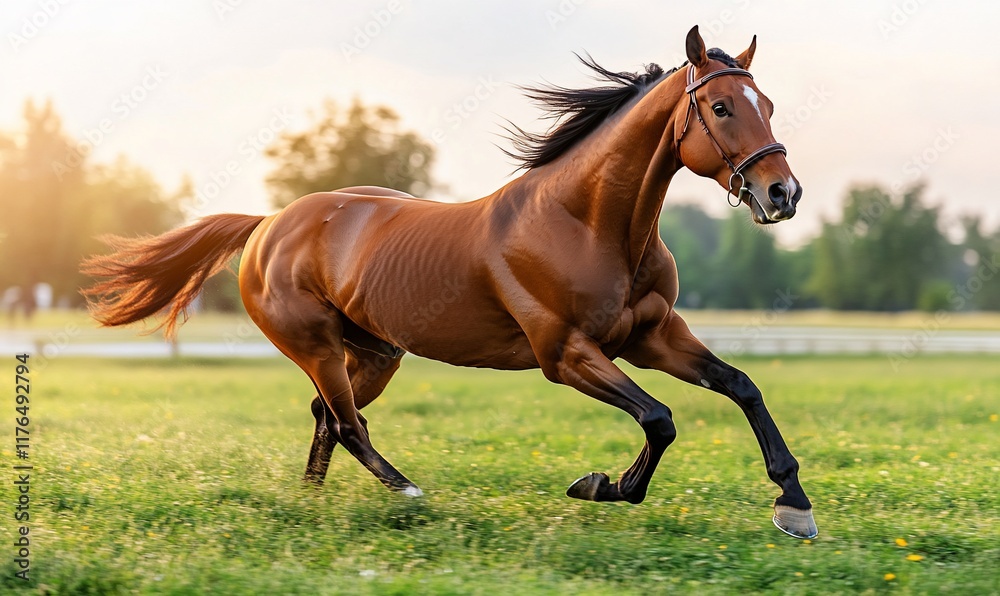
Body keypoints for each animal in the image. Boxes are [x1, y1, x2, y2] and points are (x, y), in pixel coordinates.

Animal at [81, 26, 816, 539]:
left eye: (769, 103)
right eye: (721, 107)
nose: (783, 193)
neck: (587, 223)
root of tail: (268, 225)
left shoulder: (652, 336)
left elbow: (740, 386)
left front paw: (794, 506)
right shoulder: (565, 354)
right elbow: (660, 419)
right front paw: (597, 485)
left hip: (374, 353)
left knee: (328, 416)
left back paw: (312, 502)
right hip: (316, 344)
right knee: (347, 424)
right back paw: (408, 493)